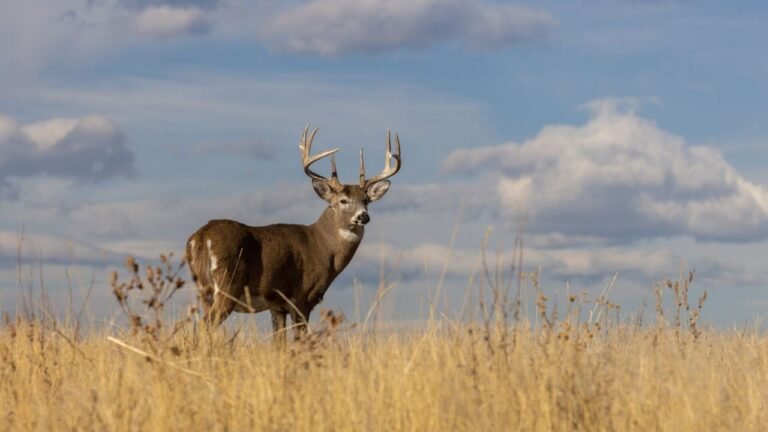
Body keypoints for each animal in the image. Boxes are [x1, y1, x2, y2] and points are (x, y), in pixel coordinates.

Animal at [185, 125, 401, 342]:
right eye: (343, 200)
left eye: (366, 200)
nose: (363, 216)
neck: (323, 247)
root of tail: (201, 237)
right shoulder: (302, 297)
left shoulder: (277, 306)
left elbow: (279, 341)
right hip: (228, 284)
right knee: (204, 325)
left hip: (203, 288)